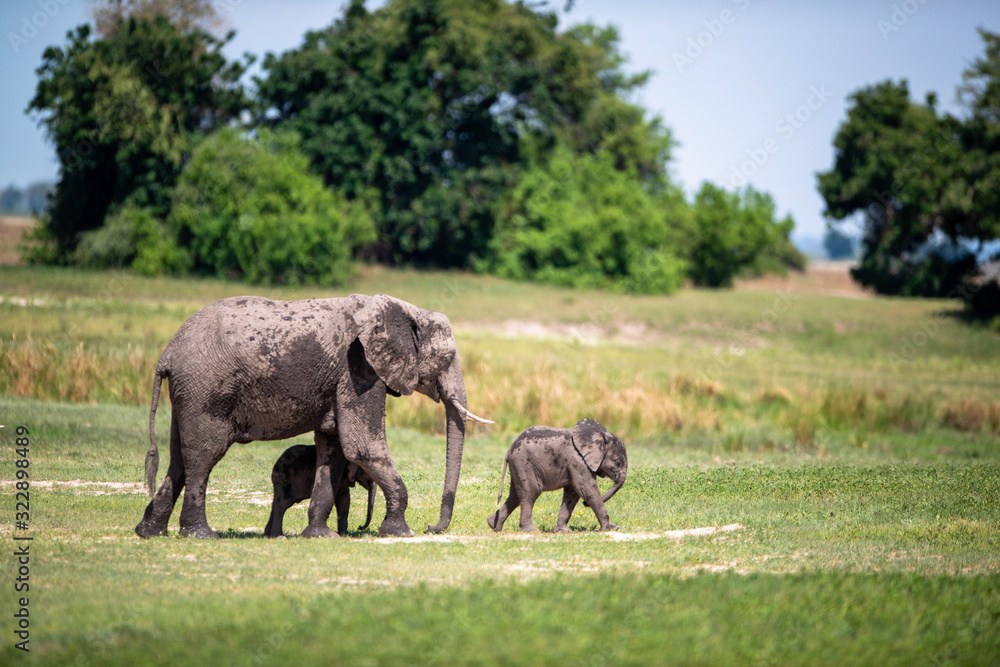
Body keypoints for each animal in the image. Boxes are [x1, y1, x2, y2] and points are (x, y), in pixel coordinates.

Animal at [135, 293, 492, 540]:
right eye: (447, 357)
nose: (433, 527)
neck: (402, 310)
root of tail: (166, 354)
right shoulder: (359, 369)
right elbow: (362, 446)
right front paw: (400, 532)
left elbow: (333, 449)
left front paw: (321, 536)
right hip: (206, 391)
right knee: (202, 457)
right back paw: (201, 535)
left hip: (188, 393)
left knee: (178, 460)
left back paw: (149, 532)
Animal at [487, 418, 627, 533]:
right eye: (618, 462)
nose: (584, 504)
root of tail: (510, 448)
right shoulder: (579, 462)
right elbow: (587, 490)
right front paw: (609, 529)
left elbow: (572, 494)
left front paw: (563, 531)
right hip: (523, 463)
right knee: (530, 493)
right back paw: (530, 530)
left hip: (518, 466)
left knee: (515, 496)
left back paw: (493, 526)